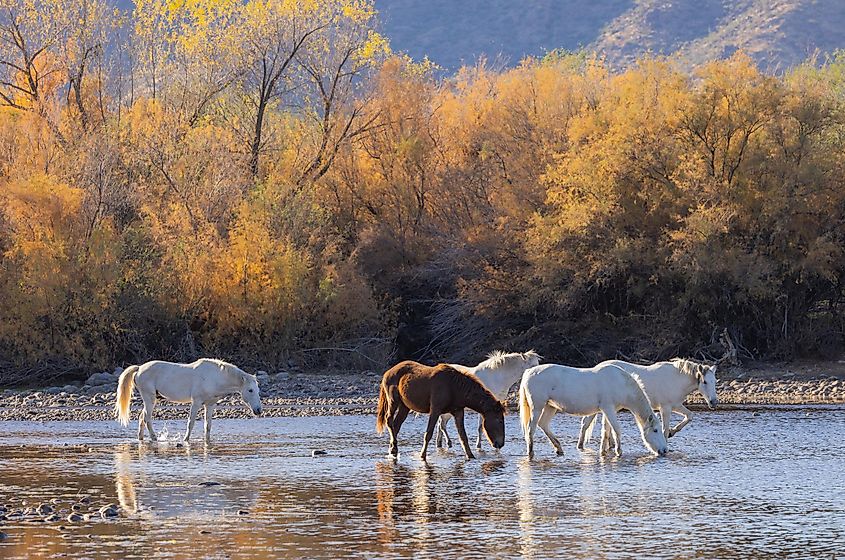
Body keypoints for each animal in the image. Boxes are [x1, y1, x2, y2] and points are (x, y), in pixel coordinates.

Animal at [113, 358, 262, 442]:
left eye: (257, 390)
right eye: (250, 390)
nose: (258, 410)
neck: (214, 377)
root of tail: (139, 369)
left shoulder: (210, 405)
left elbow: (208, 426)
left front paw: (207, 442)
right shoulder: (196, 402)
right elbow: (191, 423)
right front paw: (186, 440)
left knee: (141, 417)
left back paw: (141, 438)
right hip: (149, 398)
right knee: (147, 418)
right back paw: (154, 438)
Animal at [374, 364, 504, 460]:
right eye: (499, 420)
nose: (501, 443)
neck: (455, 388)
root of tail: (387, 373)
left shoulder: (458, 412)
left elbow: (463, 436)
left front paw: (470, 455)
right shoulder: (435, 410)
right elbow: (428, 434)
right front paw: (422, 455)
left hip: (404, 407)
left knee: (396, 425)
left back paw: (393, 449)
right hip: (393, 401)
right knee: (389, 420)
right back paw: (393, 448)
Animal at [520, 364, 664, 460]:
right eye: (655, 430)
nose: (664, 450)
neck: (620, 383)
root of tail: (529, 371)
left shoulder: (608, 410)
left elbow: (606, 432)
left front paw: (603, 452)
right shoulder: (608, 408)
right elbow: (616, 429)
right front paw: (618, 451)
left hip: (550, 406)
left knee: (543, 424)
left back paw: (559, 448)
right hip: (537, 407)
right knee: (531, 429)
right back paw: (531, 453)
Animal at [580, 358, 720, 450]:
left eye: (715, 381)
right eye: (705, 382)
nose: (713, 402)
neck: (676, 380)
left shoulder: (676, 405)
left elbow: (690, 416)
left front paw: (673, 432)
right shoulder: (666, 408)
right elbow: (664, 429)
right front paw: (667, 439)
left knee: (588, 423)